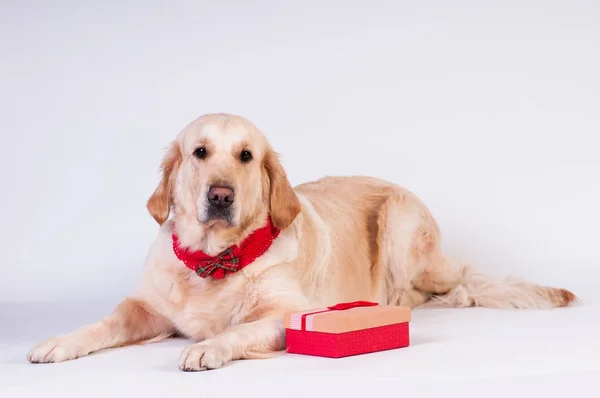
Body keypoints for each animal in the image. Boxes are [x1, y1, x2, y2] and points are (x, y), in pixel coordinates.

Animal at [28, 113, 576, 372]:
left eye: (246, 156)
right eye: (199, 152)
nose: (221, 195)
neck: (215, 261)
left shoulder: (284, 315)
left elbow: (238, 330)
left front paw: (208, 348)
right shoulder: (147, 308)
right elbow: (104, 323)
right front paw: (59, 341)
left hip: (404, 227)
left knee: (457, 280)